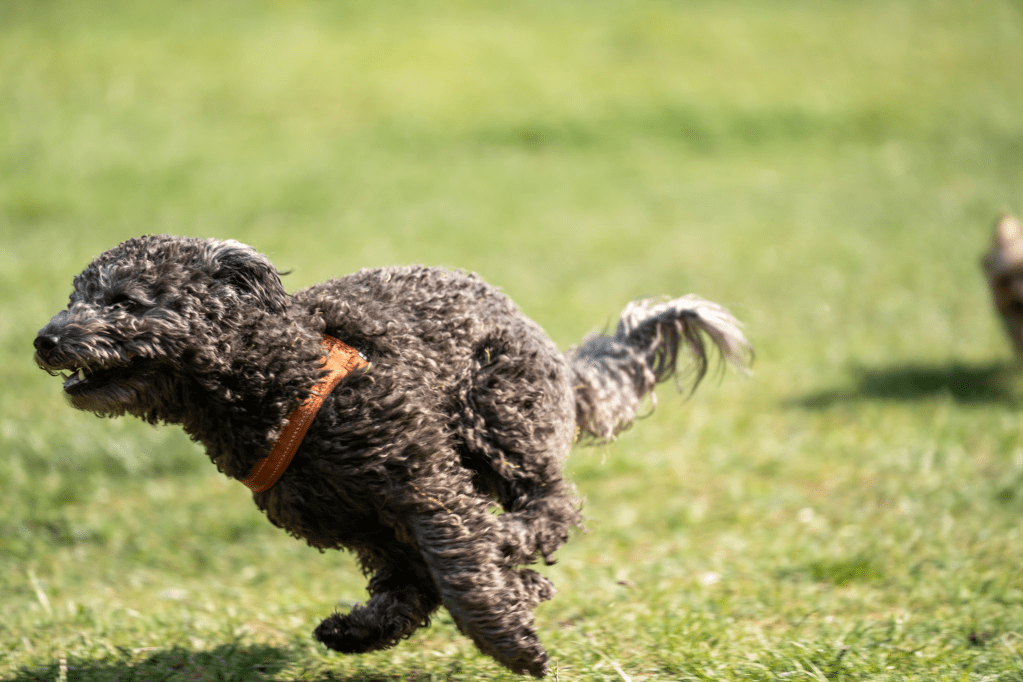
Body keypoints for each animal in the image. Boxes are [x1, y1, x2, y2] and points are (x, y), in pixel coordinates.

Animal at [34, 235, 751, 676]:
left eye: (124, 301)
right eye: (73, 297)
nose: (43, 339)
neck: (278, 376)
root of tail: (549, 348)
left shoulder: (424, 488)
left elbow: (461, 577)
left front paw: (511, 642)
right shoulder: (367, 524)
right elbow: (412, 590)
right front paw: (357, 632)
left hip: (502, 419)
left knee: (550, 503)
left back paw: (514, 541)